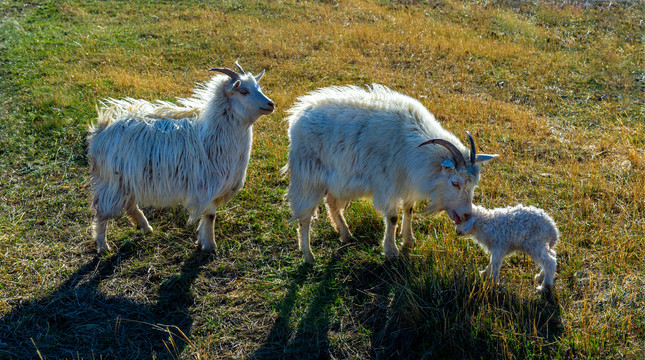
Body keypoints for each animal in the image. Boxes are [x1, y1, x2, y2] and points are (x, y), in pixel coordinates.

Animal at [88, 62, 274, 253]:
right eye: (243, 91)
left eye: (258, 87)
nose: (271, 104)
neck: (212, 134)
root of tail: (101, 132)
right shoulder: (208, 185)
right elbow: (210, 215)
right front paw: (210, 245)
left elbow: (208, 216)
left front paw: (202, 240)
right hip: (113, 181)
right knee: (102, 212)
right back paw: (103, 246)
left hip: (126, 180)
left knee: (130, 205)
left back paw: (145, 227)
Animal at [284, 84, 498, 264]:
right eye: (455, 183)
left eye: (474, 184)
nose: (466, 214)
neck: (413, 148)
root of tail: (296, 116)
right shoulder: (386, 186)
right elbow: (393, 218)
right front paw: (391, 251)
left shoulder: (407, 184)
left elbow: (409, 210)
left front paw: (409, 240)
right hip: (308, 177)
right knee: (304, 217)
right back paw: (308, 256)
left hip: (337, 181)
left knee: (332, 204)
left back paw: (345, 235)